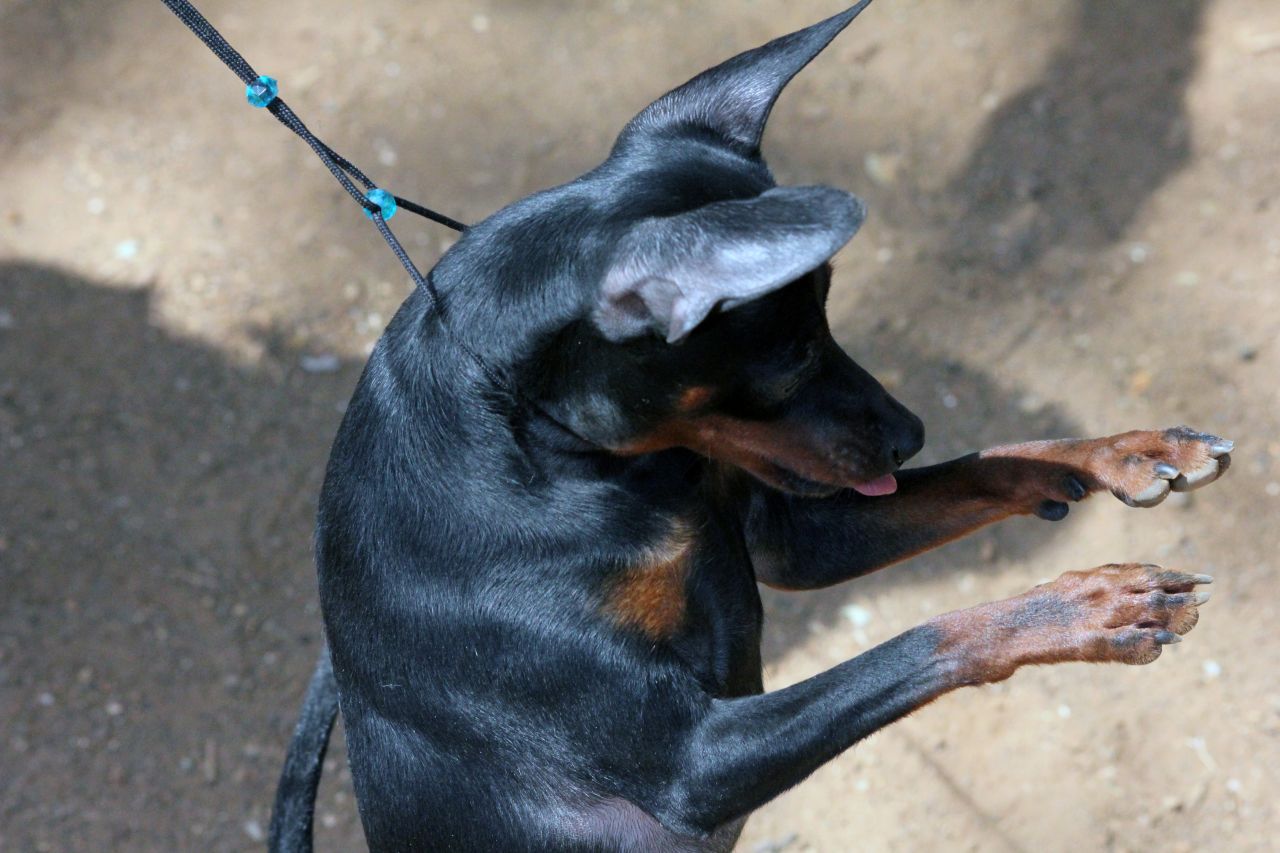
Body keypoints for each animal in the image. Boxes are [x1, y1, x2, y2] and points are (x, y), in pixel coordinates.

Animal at [267, 3, 1228, 845]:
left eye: (828, 324)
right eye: (794, 355)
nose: (910, 432)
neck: (583, 469)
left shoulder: (795, 538)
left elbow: (990, 460)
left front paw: (1130, 452)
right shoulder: (692, 763)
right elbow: (923, 639)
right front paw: (1095, 603)